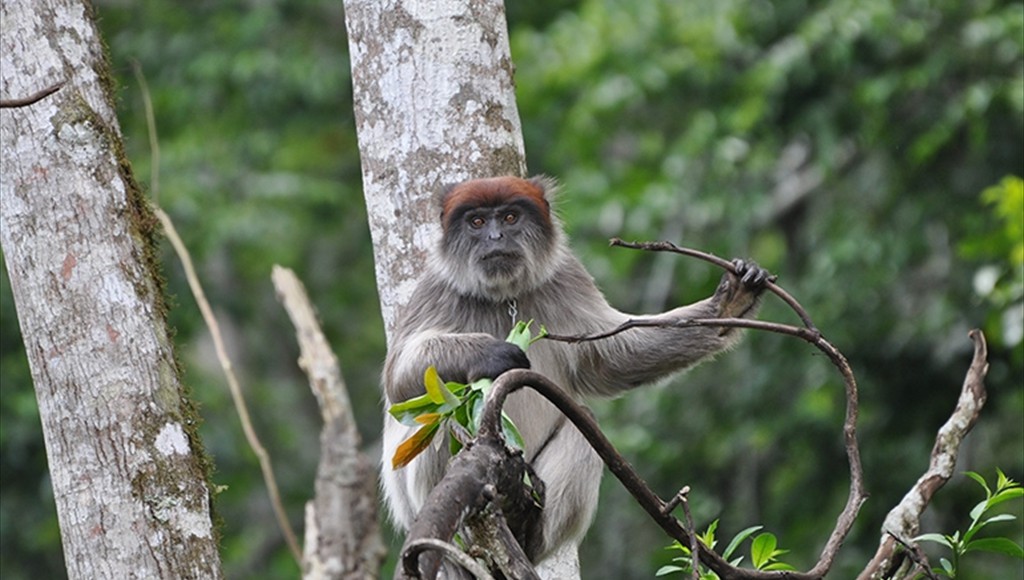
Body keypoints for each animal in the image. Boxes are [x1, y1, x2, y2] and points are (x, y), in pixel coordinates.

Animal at [380, 176, 770, 569]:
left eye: (509, 217)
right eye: (476, 222)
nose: (494, 237)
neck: (504, 296)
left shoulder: (566, 273)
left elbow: (611, 357)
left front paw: (732, 300)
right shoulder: (436, 287)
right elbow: (398, 380)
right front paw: (490, 354)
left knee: (581, 421)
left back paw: (527, 528)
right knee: (440, 416)